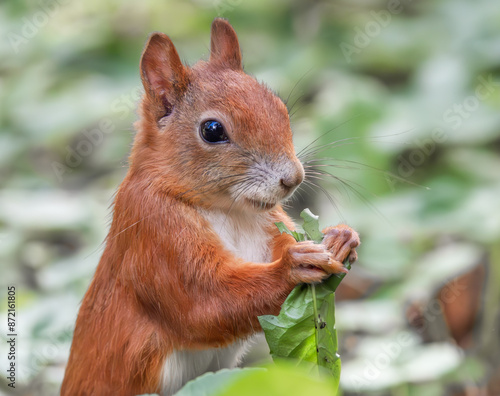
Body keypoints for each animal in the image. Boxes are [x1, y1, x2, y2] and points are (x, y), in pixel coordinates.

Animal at [61, 18, 360, 396]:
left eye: (280, 107)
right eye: (212, 130)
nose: (293, 178)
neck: (231, 211)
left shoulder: (269, 222)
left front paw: (341, 237)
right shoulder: (153, 231)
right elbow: (202, 305)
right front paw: (294, 266)